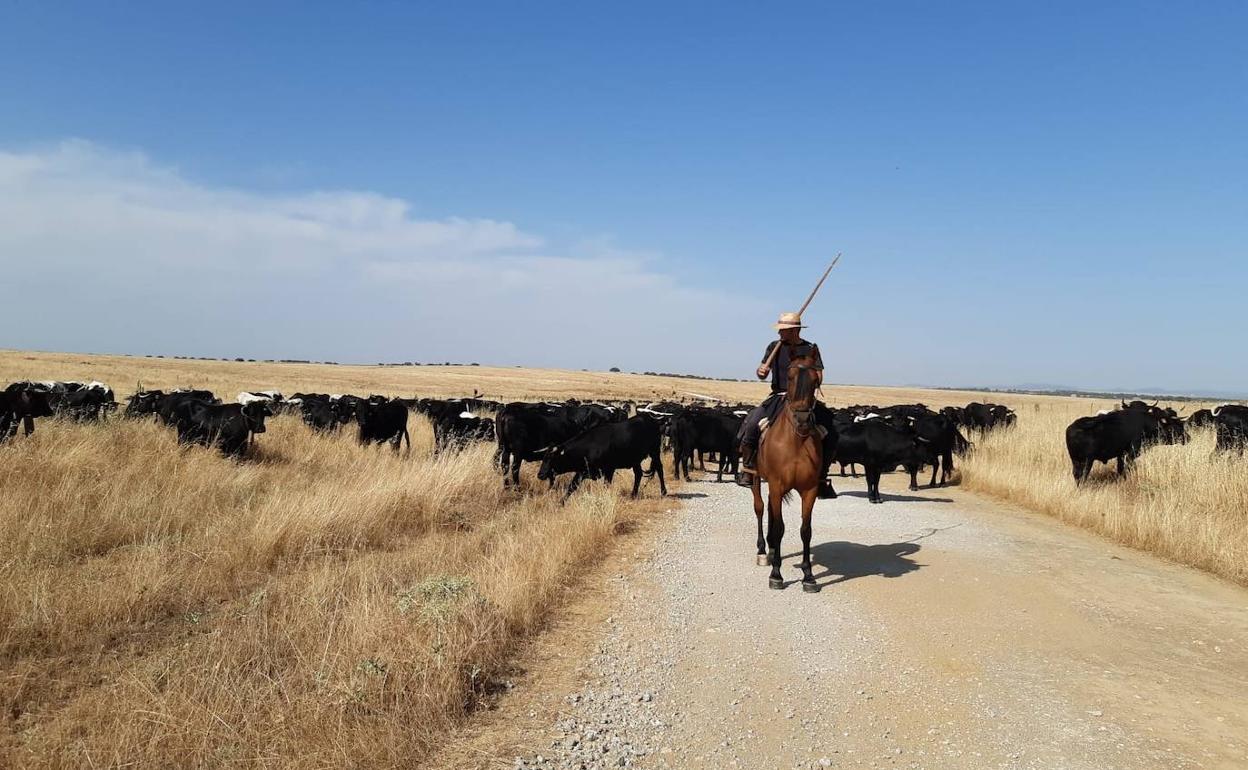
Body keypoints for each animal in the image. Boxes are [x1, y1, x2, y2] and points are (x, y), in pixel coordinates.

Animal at [539, 414, 668, 499]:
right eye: (543, 458)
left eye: (551, 459)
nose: (540, 474)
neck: (589, 447)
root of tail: (653, 420)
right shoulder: (582, 471)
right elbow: (572, 486)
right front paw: (561, 503)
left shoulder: (609, 469)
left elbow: (606, 485)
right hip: (635, 459)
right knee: (638, 474)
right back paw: (633, 494)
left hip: (655, 452)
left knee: (659, 469)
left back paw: (663, 491)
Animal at [748, 344, 828, 591]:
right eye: (790, 377)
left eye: (815, 378)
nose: (802, 420)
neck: (796, 441)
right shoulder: (776, 485)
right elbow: (779, 527)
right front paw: (776, 574)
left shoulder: (809, 489)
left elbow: (805, 530)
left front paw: (808, 575)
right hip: (756, 478)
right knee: (760, 508)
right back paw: (763, 551)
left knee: (770, 512)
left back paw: (773, 549)